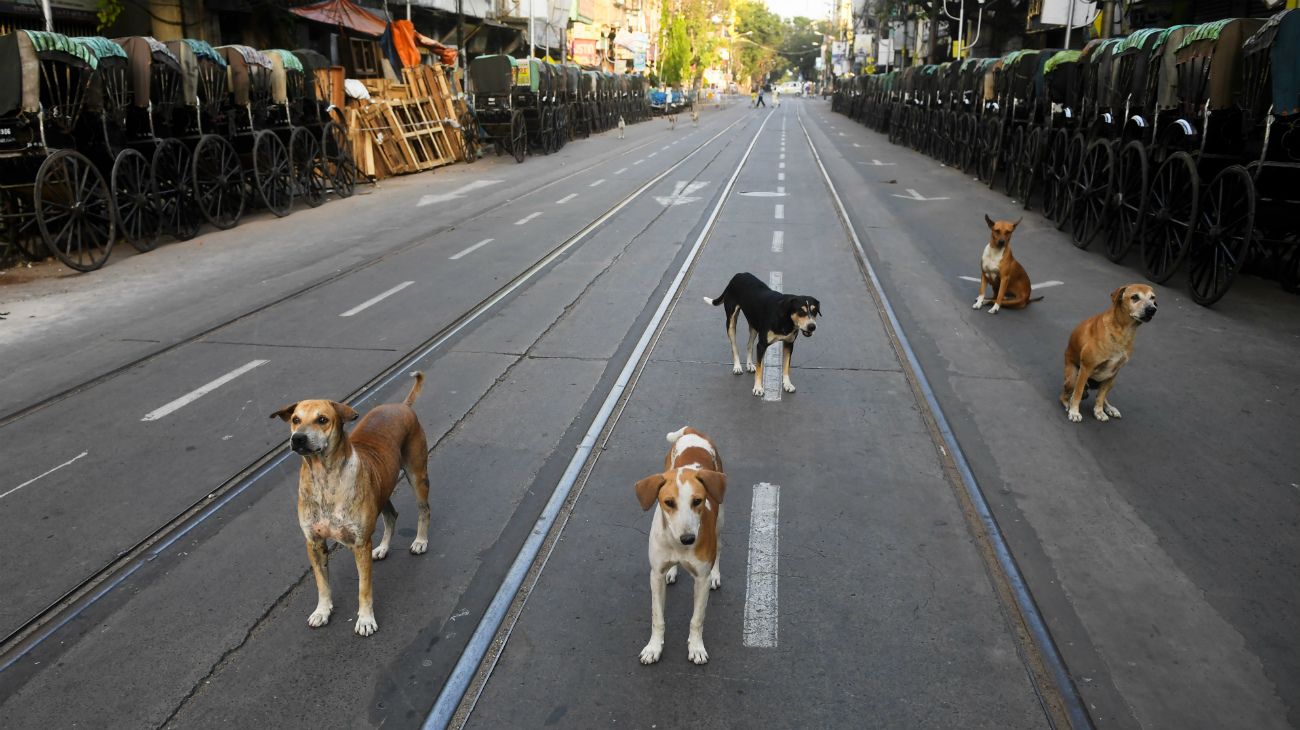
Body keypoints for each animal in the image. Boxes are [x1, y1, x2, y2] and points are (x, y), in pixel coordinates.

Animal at [271, 371, 434, 633]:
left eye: (322, 419)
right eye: (296, 419)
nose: (298, 438)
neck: (324, 479)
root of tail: (402, 405)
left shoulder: (360, 544)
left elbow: (364, 587)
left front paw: (366, 619)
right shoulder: (314, 542)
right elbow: (322, 583)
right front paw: (322, 611)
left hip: (417, 476)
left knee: (424, 509)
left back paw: (420, 541)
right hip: (382, 488)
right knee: (391, 515)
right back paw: (383, 548)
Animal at [634, 423, 728, 662]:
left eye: (698, 501)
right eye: (668, 502)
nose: (688, 539)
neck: (677, 546)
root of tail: (692, 431)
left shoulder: (701, 579)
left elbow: (697, 619)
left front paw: (696, 647)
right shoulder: (655, 575)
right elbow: (657, 617)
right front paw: (653, 647)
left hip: (720, 518)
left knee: (720, 547)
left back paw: (716, 573)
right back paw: (673, 571)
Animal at [1060, 284, 1164, 420]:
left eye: (1152, 298)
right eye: (1135, 297)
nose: (1152, 309)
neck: (1123, 331)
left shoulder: (1113, 373)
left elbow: (1101, 396)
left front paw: (1099, 411)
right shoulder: (1086, 368)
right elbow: (1078, 393)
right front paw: (1074, 411)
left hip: (1111, 381)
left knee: (1101, 395)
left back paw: (1109, 407)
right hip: (1072, 379)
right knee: (1065, 394)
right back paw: (1068, 403)